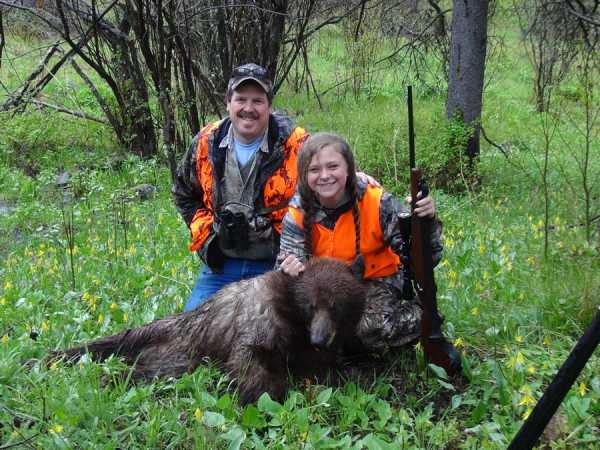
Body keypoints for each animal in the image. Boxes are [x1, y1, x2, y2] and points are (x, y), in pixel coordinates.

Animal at [51, 256, 368, 404]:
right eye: (311, 306)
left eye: (336, 306)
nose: (319, 338)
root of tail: (178, 321)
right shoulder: (261, 322)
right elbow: (250, 362)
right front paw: (266, 394)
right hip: (180, 354)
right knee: (149, 370)